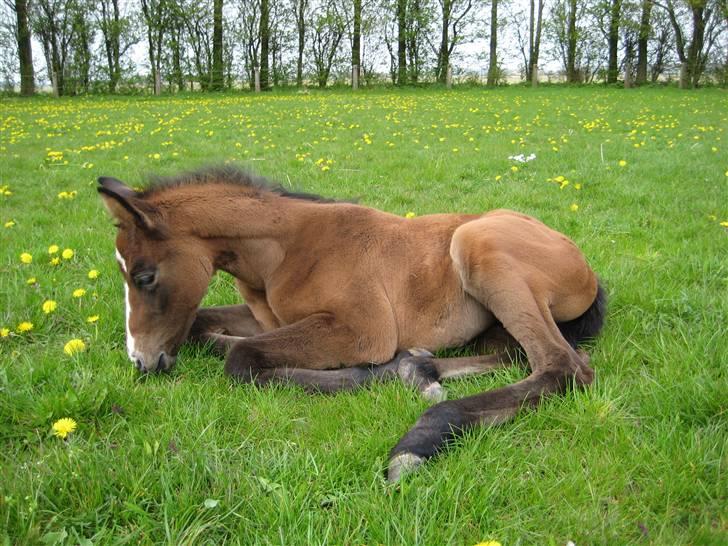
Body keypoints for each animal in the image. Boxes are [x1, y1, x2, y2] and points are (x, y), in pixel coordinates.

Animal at [98, 167, 608, 480]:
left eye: (144, 276)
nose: (142, 361)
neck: (284, 251)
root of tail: (583, 262)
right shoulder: (266, 317)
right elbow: (203, 326)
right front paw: (388, 371)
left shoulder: (362, 329)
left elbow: (242, 358)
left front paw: (361, 374)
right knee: (512, 353)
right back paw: (415, 369)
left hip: (479, 246)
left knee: (563, 366)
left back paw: (418, 439)